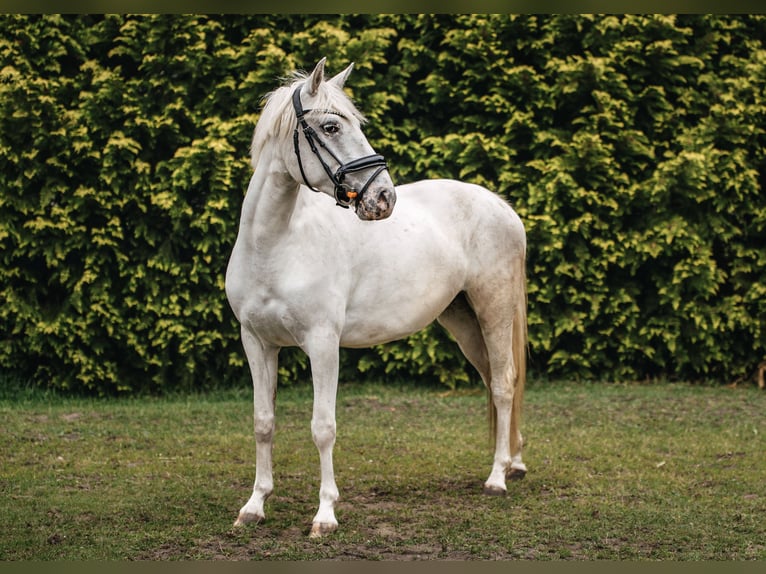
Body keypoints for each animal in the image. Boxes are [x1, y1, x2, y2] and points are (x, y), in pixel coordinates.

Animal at [225, 58, 528, 538]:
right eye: (331, 126)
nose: (384, 197)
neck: (275, 246)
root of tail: (500, 206)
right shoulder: (256, 343)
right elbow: (263, 423)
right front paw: (254, 506)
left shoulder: (322, 344)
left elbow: (323, 427)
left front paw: (325, 515)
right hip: (463, 321)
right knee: (497, 383)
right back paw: (513, 463)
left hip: (494, 310)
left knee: (503, 384)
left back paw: (497, 477)